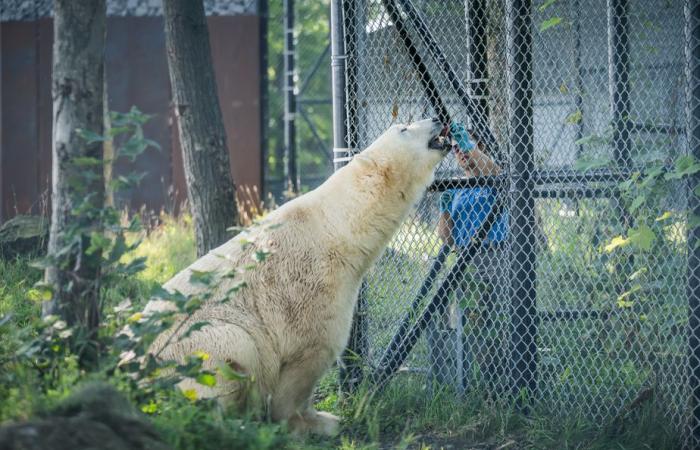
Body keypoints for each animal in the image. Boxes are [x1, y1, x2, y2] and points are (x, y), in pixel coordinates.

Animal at [144, 118, 448, 436]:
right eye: (403, 128)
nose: (436, 119)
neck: (337, 226)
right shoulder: (311, 283)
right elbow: (308, 353)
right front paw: (312, 424)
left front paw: (322, 417)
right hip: (195, 347)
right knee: (234, 349)